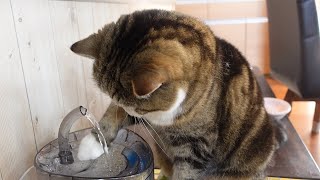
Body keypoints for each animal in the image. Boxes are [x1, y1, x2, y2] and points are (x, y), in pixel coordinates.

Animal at [71, 9, 284, 179]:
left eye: (138, 107)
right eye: (118, 101)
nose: (130, 112)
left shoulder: (196, 144)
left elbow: (187, 170)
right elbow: (110, 116)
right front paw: (90, 145)